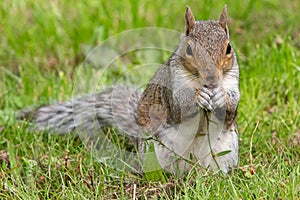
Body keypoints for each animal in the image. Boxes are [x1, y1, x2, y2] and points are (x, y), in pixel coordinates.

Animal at [18, 5, 239, 174]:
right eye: (189, 49)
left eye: (228, 48)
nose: (211, 79)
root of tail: (191, 167)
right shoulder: (171, 85)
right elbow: (179, 109)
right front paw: (198, 97)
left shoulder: (232, 83)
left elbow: (230, 110)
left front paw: (221, 97)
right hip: (156, 150)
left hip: (226, 151)